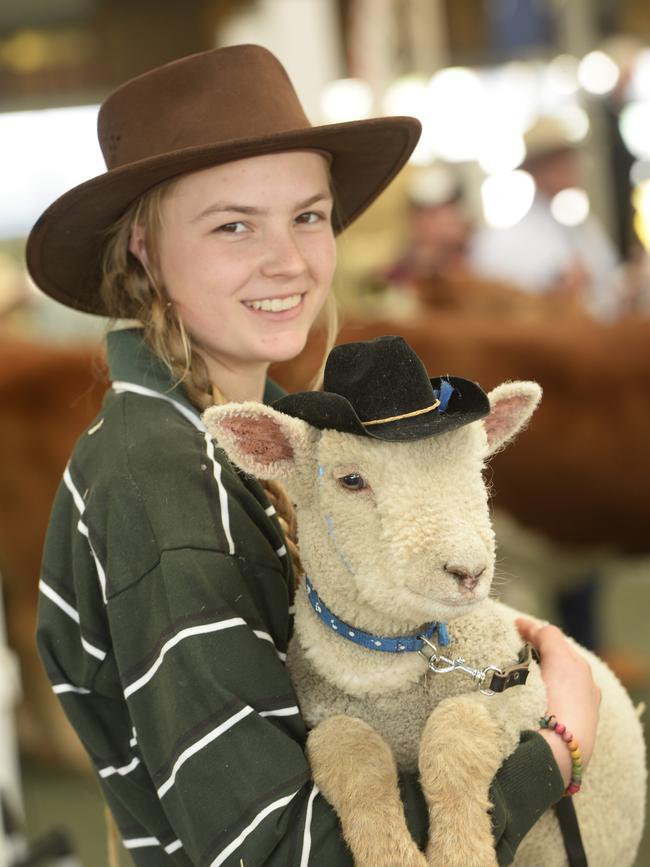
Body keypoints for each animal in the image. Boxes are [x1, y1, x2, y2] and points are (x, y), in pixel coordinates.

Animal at [204, 338, 644, 867]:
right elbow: (347, 752)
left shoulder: (516, 696)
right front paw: (393, 855)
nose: (469, 571)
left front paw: (461, 852)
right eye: (351, 480)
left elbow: (454, 733)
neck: (390, 669)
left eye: (478, 470)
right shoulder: (322, 720)